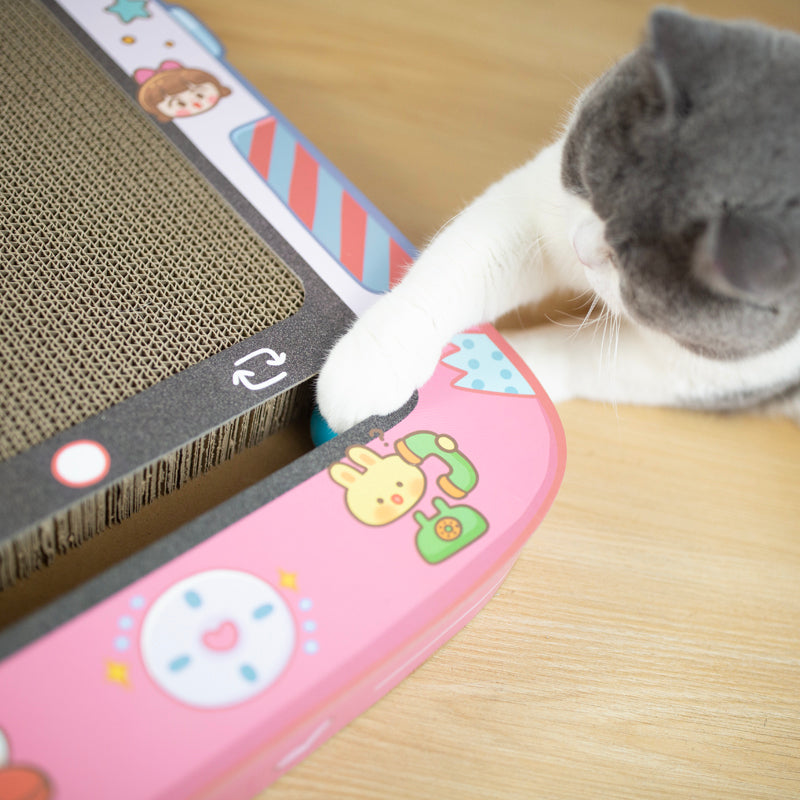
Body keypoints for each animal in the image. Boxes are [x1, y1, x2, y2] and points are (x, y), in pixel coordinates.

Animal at [318, 6, 800, 432]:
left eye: (633, 270)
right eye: (587, 180)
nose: (580, 250)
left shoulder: (720, 371)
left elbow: (582, 356)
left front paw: (501, 370)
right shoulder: (541, 208)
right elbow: (452, 274)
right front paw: (368, 367)